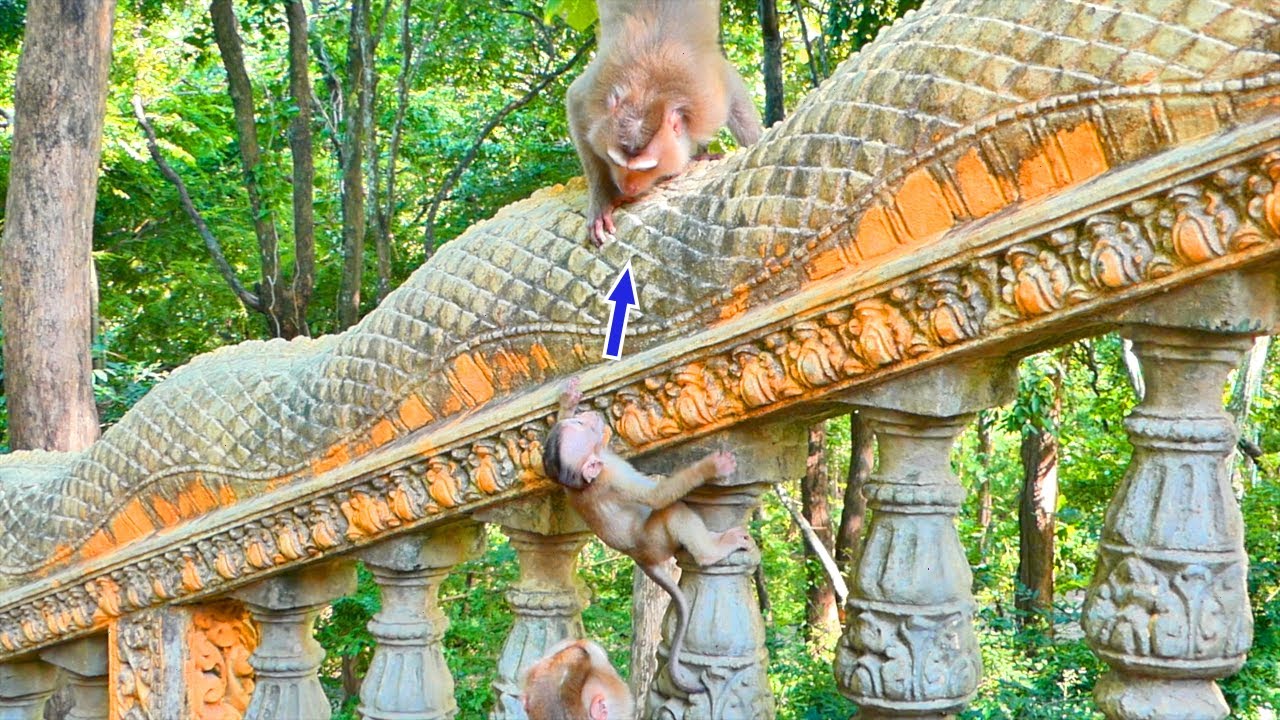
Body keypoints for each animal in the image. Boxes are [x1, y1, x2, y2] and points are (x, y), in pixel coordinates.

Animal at [542, 378, 755, 694]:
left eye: (578, 422)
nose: (590, 417)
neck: (587, 479)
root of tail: (640, 557)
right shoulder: (612, 474)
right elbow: (657, 496)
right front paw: (712, 467)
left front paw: (567, 401)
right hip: (656, 541)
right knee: (672, 512)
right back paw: (711, 551)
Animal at [566, 0, 764, 246]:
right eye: (615, 161)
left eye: (648, 167)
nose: (627, 187)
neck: (646, 91)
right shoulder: (593, 94)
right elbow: (575, 103)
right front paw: (602, 198)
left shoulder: (710, 99)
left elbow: (734, 91)